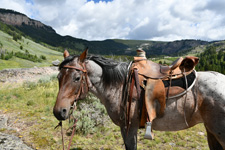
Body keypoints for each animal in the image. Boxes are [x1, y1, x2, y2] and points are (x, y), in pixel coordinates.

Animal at [53, 49, 225, 150]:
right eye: (58, 77)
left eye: (77, 78)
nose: (59, 112)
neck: (119, 85)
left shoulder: (129, 128)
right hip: (211, 131)